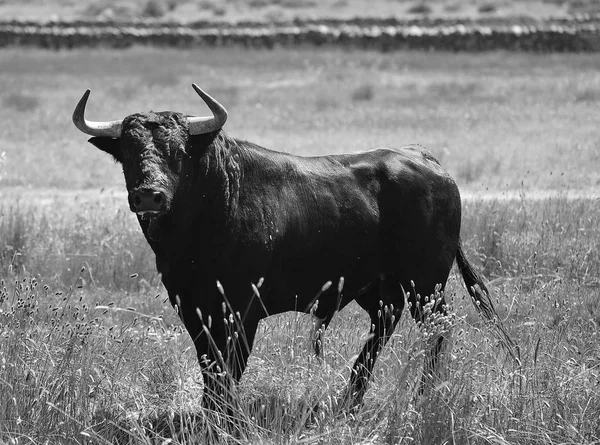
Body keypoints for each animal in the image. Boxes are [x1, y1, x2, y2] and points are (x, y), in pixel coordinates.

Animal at [70, 85, 510, 412]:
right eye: (127, 153)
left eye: (178, 152)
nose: (149, 196)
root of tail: (423, 157)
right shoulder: (194, 308)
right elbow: (210, 367)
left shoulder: (239, 311)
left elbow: (229, 369)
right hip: (379, 287)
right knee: (384, 323)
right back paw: (350, 399)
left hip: (426, 282)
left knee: (438, 327)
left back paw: (421, 397)